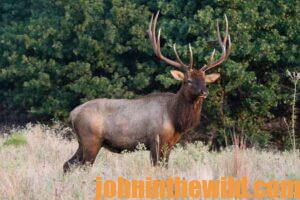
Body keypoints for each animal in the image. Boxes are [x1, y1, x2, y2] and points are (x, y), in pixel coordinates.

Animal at [63, 11, 232, 173]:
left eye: (205, 81)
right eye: (188, 80)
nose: (204, 92)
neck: (175, 118)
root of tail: (73, 114)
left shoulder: (170, 143)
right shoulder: (155, 139)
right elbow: (157, 167)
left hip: (83, 142)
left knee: (68, 164)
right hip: (90, 139)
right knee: (82, 166)